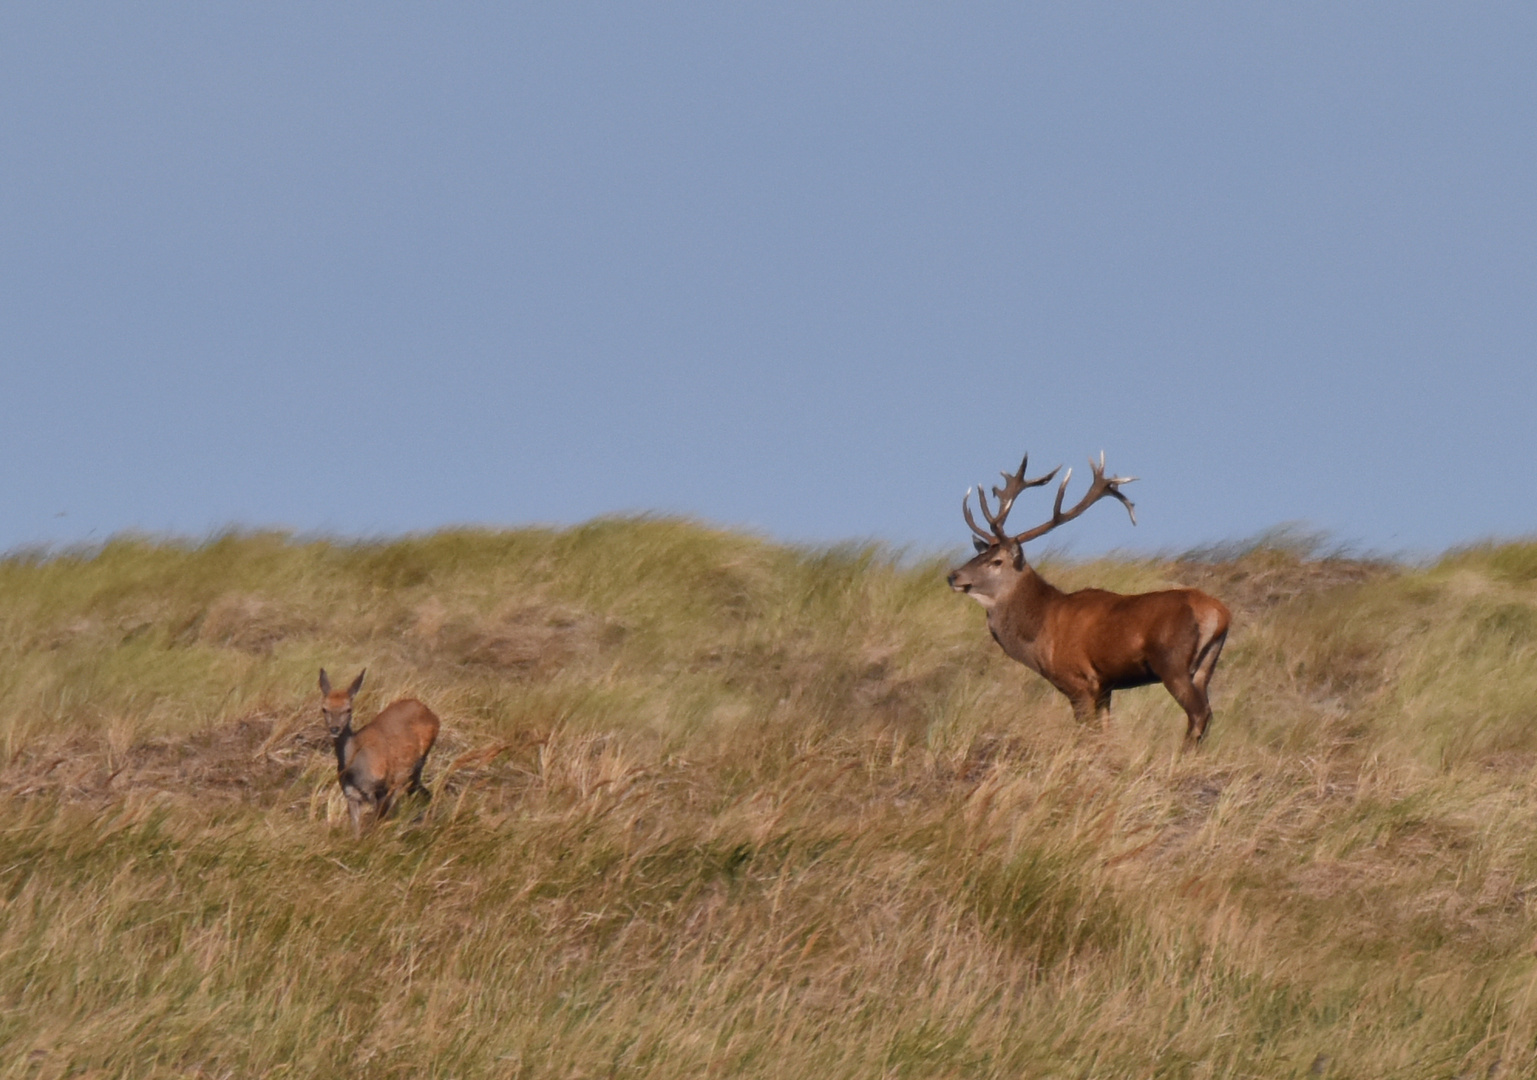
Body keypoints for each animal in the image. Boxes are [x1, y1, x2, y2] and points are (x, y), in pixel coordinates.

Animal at [318, 666, 439, 835]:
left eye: (348, 709)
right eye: (324, 709)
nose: (334, 729)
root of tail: (433, 715)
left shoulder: (381, 789)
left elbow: (376, 824)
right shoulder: (350, 795)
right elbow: (356, 832)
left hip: (415, 767)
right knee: (423, 793)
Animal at [940, 451, 1229, 746]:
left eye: (996, 561)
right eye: (979, 554)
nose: (953, 576)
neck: (1041, 631)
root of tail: (1220, 614)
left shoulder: (1078, 680)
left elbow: (1087, 733)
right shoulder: (1104, 686)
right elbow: (1105, 733)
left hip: (1172, 662)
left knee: (1199, 714)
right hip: (1205, 666)